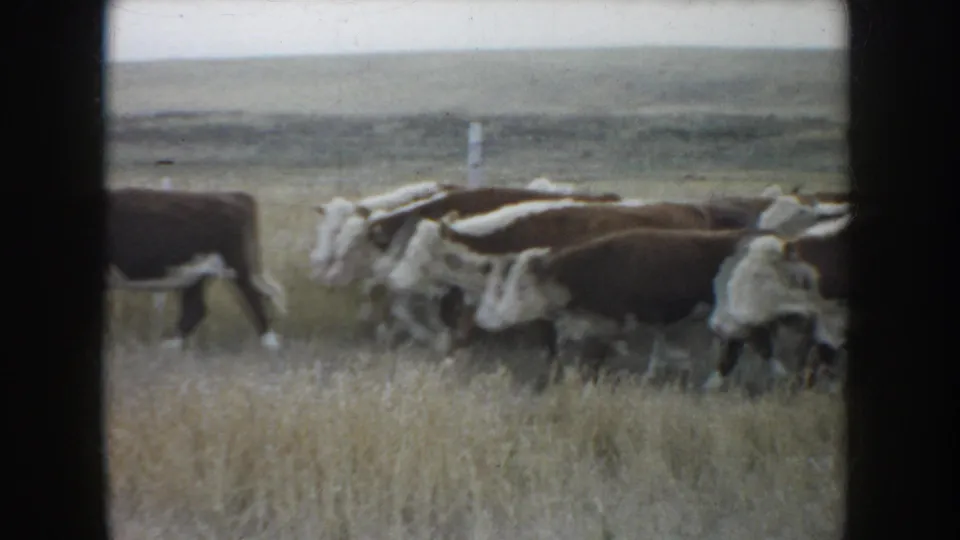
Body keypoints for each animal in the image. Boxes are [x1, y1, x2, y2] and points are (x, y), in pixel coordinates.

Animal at [108, 188, 287, 350]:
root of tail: (234, 196)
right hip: (196, 275)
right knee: (196, 309)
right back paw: (171, 344)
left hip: (236, 267)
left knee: (255, 297)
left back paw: (270, 343)